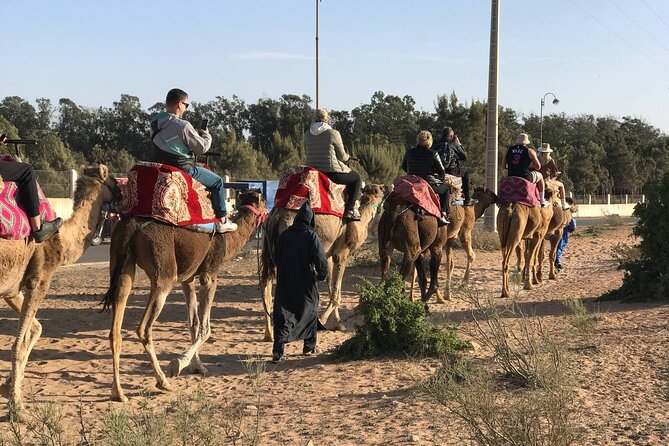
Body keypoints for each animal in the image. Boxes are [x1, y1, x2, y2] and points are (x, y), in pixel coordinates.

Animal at [0, 165, 121, 414]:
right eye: (114, 180)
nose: (123, 194)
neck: (62, 238)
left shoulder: (12, 288)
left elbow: (35, 330)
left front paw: (7, 388)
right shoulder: (39, 279)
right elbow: (18, 344)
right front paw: (17, 407)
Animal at [101, 189, 267, 402]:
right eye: (264, 202)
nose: (269, 211)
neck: (229, 240)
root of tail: (133, 227)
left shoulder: (187, 279)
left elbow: (193, 324)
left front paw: (198, 367)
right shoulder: (209, 275)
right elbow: (205, 328)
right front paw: (177, 364)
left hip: (122, 266)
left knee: (116, 329)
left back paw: (118, 393)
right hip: (164, 274)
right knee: (143, 328)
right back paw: (163, 381)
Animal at [260, 184, 386, 339]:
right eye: (381, 191)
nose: (384, 188)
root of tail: (275, 218)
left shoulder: (328, 256)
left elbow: (331, 288)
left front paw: (339, 324)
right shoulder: (341, 254)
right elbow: (336, 293)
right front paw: (322, 320)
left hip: (267, 251)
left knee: (266, 285)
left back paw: (269, 334)